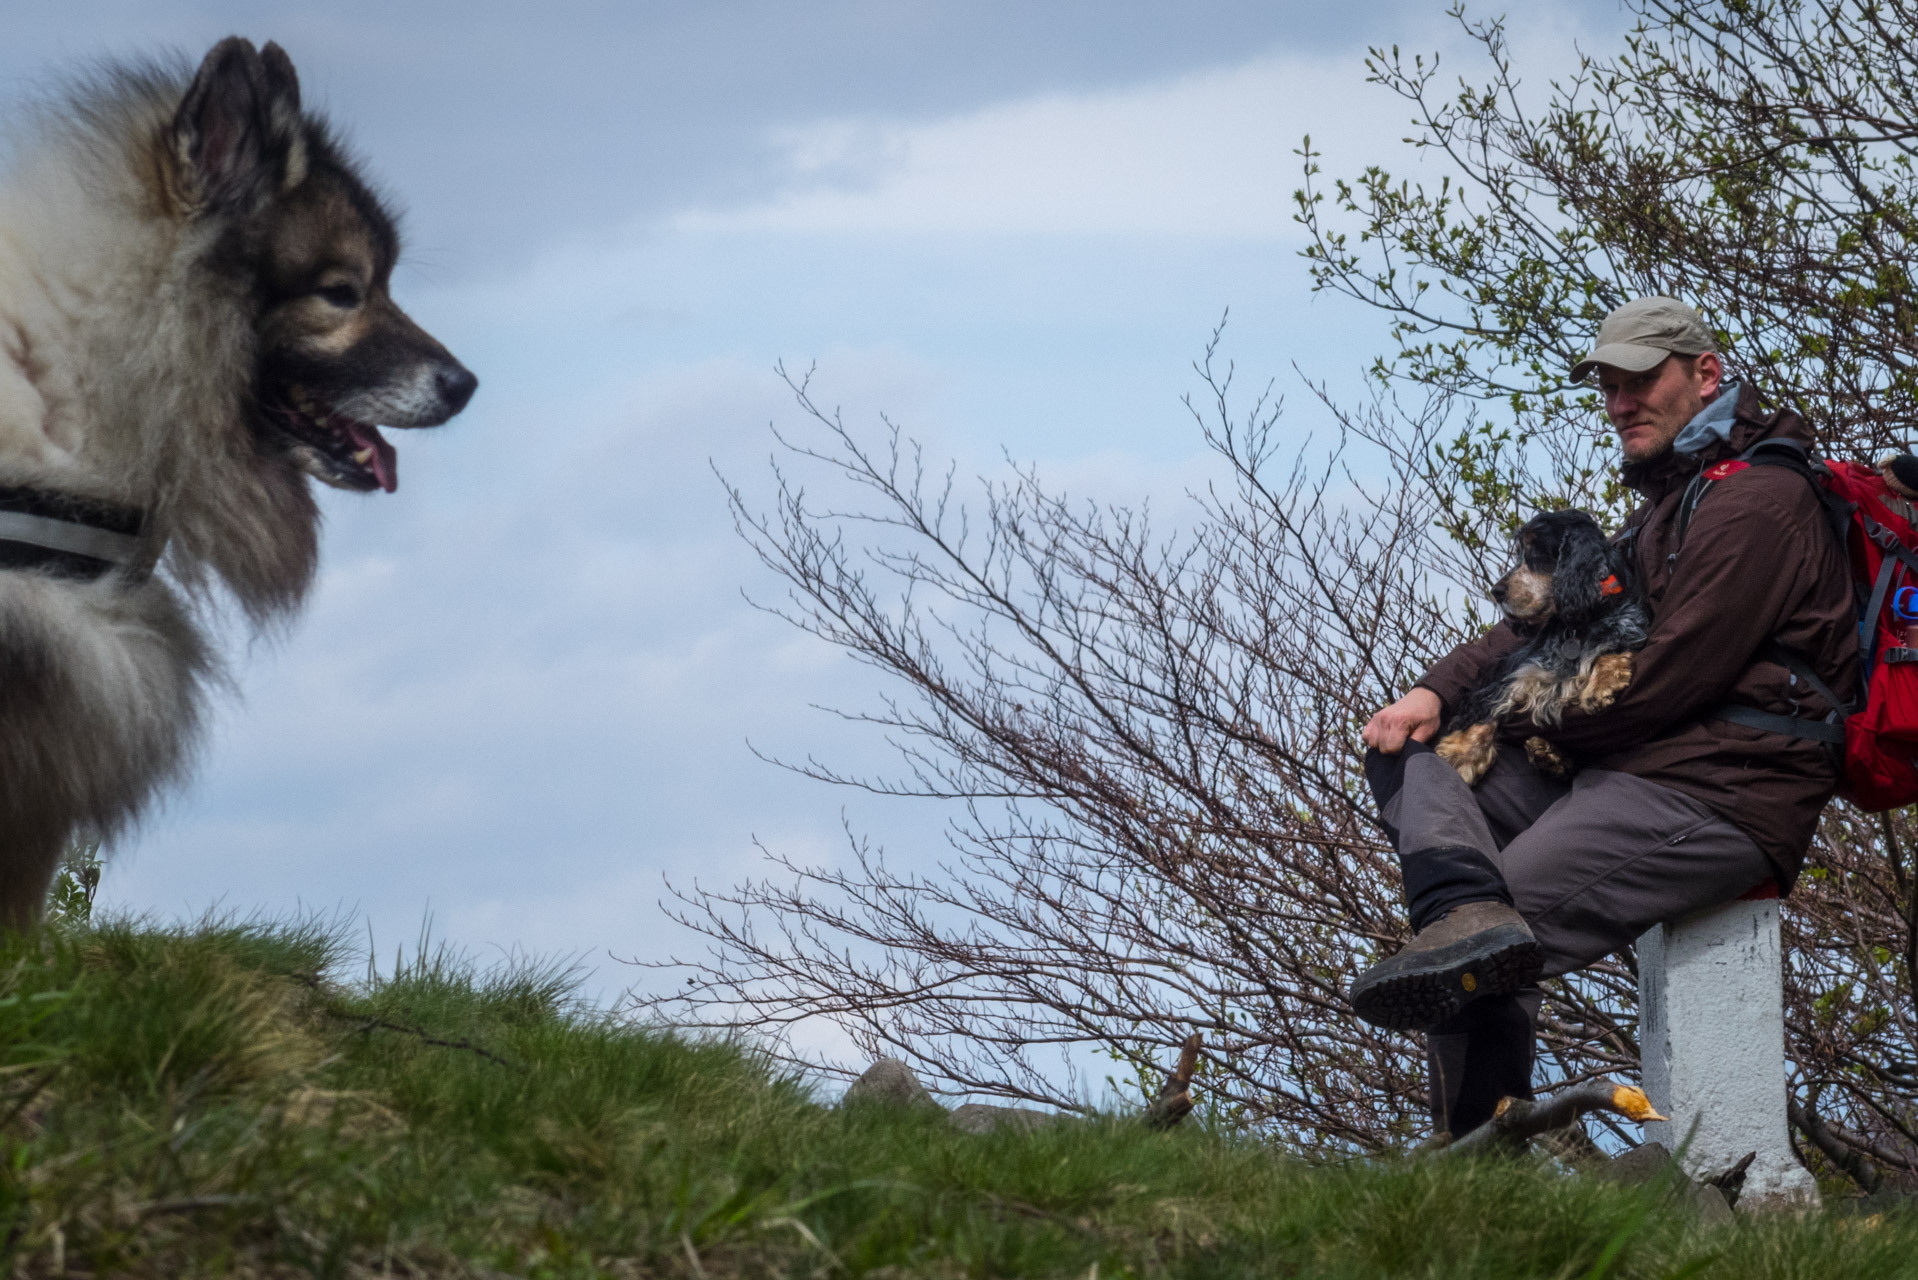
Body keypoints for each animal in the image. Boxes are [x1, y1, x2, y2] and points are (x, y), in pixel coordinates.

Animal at [1442, 506, 1649, 786]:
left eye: (1536, 550)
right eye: (1519, 552)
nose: (1496, 591)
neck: (1579, 624)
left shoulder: (1629, 629)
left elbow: (1608, 653)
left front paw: (1600, 686)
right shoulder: (1517, 670)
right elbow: (1490, 706)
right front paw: (1461, 754)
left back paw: (1549, 755)